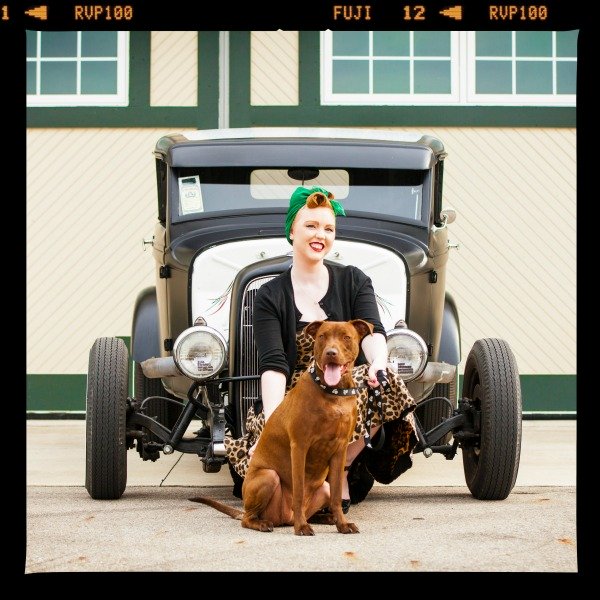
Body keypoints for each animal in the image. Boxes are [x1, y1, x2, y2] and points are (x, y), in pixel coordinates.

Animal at [190, 318, 372, 536]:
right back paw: (266, 523)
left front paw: (342, 524)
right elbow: (299, 492)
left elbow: (337, 495)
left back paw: (324, 518)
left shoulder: (339, 450)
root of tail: (285, 518)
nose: (331, 353)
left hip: (323, 488)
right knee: (248, 518)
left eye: (346, 337)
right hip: (268, 477)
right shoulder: (300, 447)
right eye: (322, 336)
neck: (332, 393)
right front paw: (302, 527)